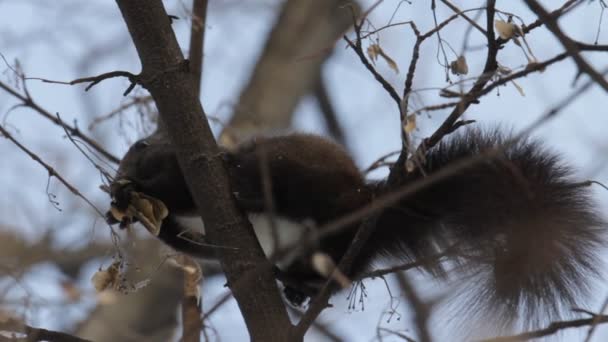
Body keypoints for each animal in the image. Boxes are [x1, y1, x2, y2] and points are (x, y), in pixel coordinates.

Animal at [105, 129, 604, 328]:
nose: (120, 175)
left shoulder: (188, 172)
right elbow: (188, 240)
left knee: (283, 187)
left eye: (140, 145)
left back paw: (253, 198)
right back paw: (297, 287)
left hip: (296, 173)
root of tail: (366, 205)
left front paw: (131, 193)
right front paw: (123, 206)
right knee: (336, 270)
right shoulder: (192, 229)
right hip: (325, 246)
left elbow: (172, 187)